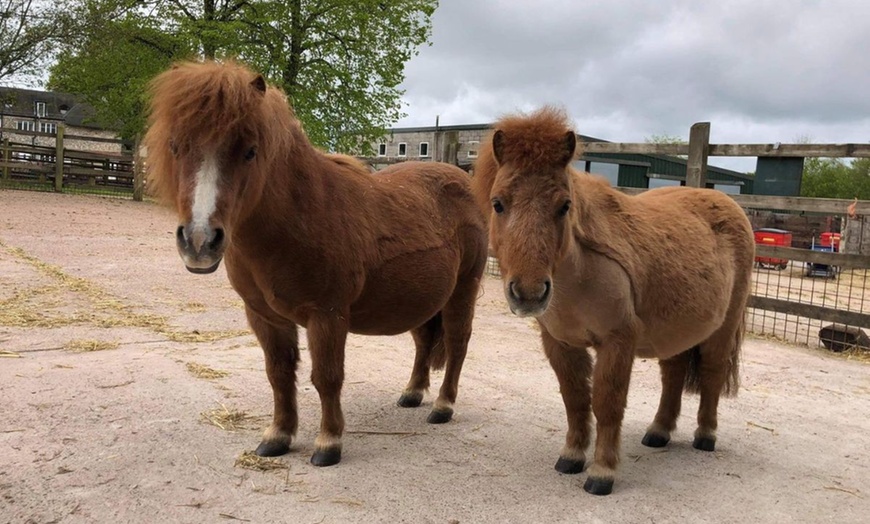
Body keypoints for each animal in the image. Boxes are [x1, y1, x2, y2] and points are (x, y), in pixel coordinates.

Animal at [143, 61, 490, 466]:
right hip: (421, 298)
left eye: (250, 151)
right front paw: (278, 436)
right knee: (423, 340)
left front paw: (328, 443)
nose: (199, 241)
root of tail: (462, 180)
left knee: (458, 342)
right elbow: (278, 374)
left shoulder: (327, 315)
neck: (300, 218)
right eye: (176, 146)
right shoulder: (265, 317)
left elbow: (326, 377)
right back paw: (413, 393)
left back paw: (443, 406)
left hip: (462, 291)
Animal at [470, 107, 756, 496]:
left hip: (722, 329)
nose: (529, 292)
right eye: (498, 203)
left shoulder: (618, 342)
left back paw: (706, 435)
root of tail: (730, 205)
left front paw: (602, 472)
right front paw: (572, 456)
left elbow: (607, 403)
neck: (579, 277)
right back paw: (659, 431)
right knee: (673, 373)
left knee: (712, 373)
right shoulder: (560, 344)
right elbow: (575, 398)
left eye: (565, 206)